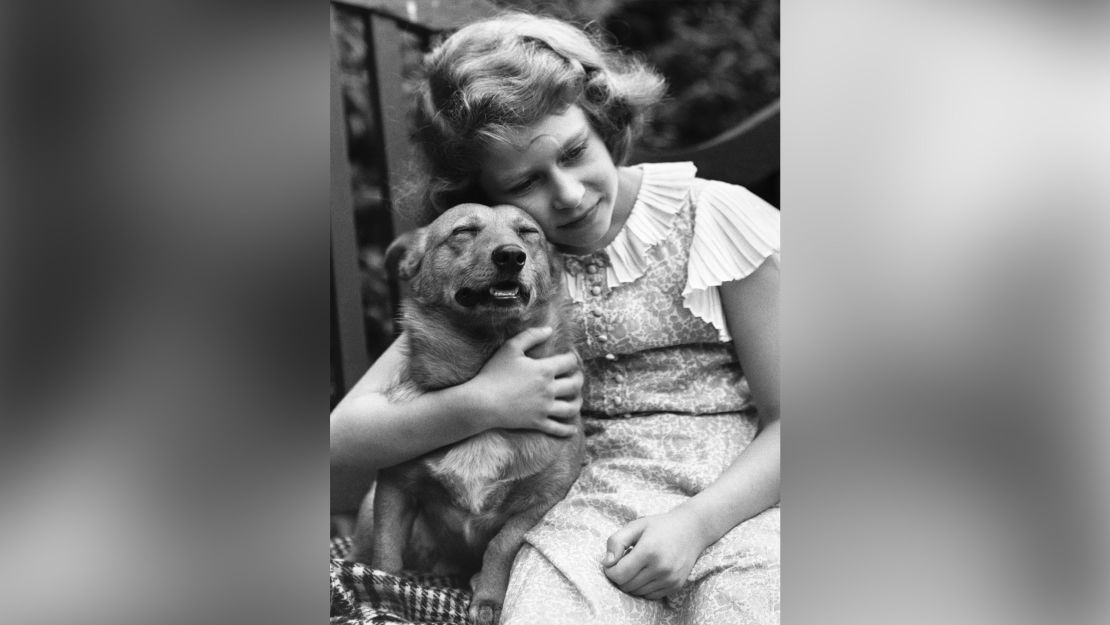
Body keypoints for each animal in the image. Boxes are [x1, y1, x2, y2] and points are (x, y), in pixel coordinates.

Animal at [346, 203, 590, 621]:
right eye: (463, 231)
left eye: (528, 233)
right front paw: (382, 592)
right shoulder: (394, 488)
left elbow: (502, 545)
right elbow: (386, 557)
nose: (510, 255)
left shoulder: (544, 499)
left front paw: (488, 598)